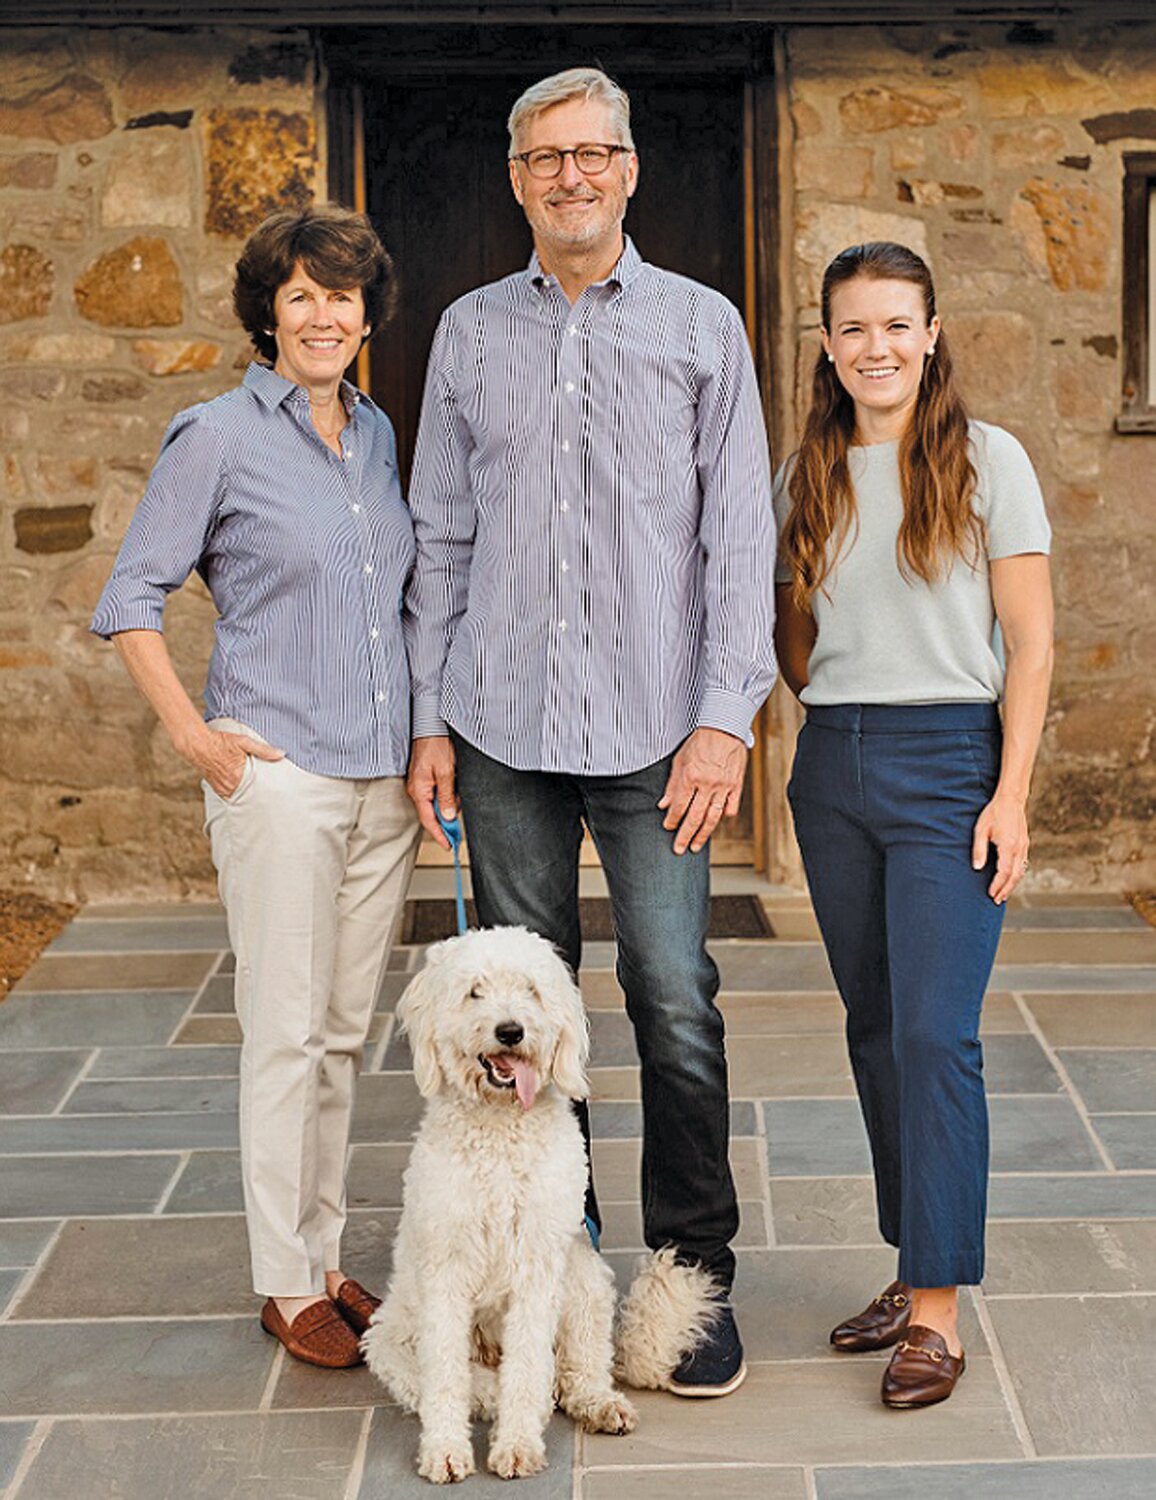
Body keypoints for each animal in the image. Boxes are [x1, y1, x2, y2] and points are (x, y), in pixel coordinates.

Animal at [361, 918, 638, 1482]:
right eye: (474, 991)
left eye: (531, 990)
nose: (511, 1031)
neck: (499, 1132)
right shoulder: (444, 1271)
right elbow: (446, 1375)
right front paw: (445, 1450)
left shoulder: (537, 1268)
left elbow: (529, 1365)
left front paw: (517, 1445)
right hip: (389, 1337)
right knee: (463, 1383)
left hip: (583, 1276)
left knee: (576, 1369)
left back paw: (598, 1403)